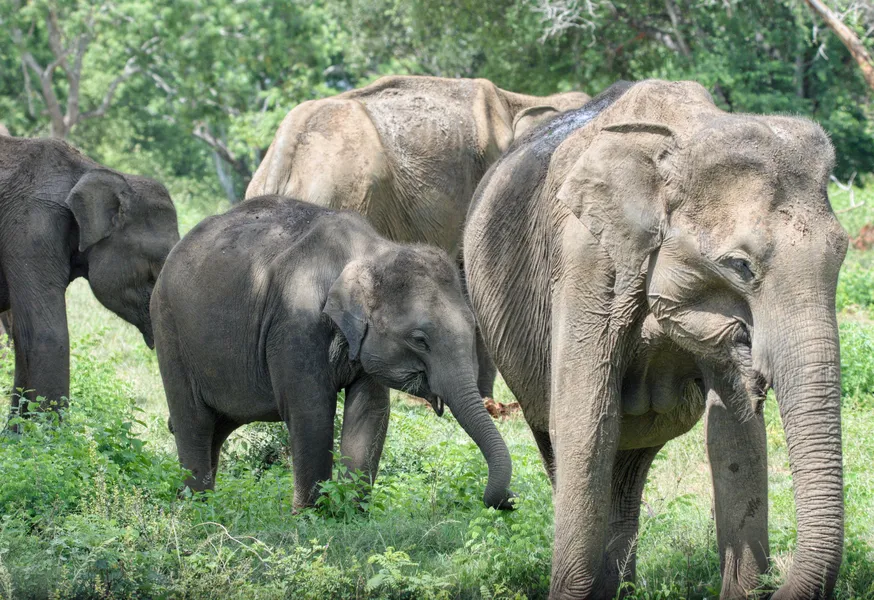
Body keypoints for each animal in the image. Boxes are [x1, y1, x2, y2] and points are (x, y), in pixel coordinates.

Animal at [151, 195, 514, 510]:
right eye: (420, 339)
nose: (509, 500)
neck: (371, 251)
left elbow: (370, 409)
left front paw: (352, 512)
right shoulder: (295, 321)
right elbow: (310, 410)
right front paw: (311, 515)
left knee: (218, 423)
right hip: (169, 329)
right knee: (194, 419)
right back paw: (196, 506)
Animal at [464, 80, 848, 599]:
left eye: (843, 251)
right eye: (740, 266)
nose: (758, 373)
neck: (687, 132)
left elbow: (734, 434)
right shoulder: (587, 258)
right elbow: (585, 421)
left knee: (628, 467)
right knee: (564, 445)